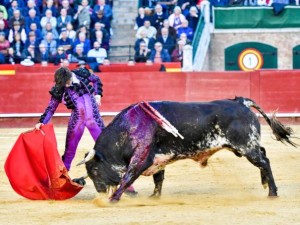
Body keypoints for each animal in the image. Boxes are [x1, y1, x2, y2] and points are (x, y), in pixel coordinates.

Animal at [77, 96, 296, 200]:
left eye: (94, 170)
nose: (99, 191)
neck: (129, 127)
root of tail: (240, 102)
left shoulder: (141, 158)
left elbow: (127, 178)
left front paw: (113, 199)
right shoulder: (158, 159)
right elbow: (158, 180)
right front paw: (154, 197)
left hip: (246, 146)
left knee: (264, 161)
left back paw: (272, 192)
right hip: (248, 145)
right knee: (263, 154)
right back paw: (265, 184)